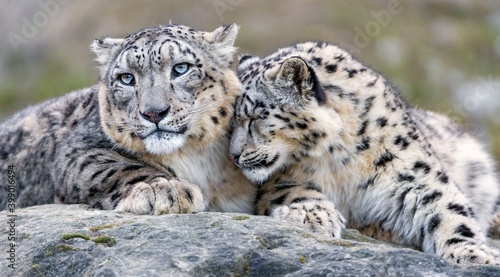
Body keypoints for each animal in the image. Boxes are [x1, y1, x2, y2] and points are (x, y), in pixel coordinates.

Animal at [230, 42, 500, 264]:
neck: (339, 160)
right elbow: (293, 191)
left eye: (254, 116)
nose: (233, 156)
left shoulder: (416, 174)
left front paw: (474, 253)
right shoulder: (279, 180)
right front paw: (312, 216)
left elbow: (449, 210)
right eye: (230, 122)